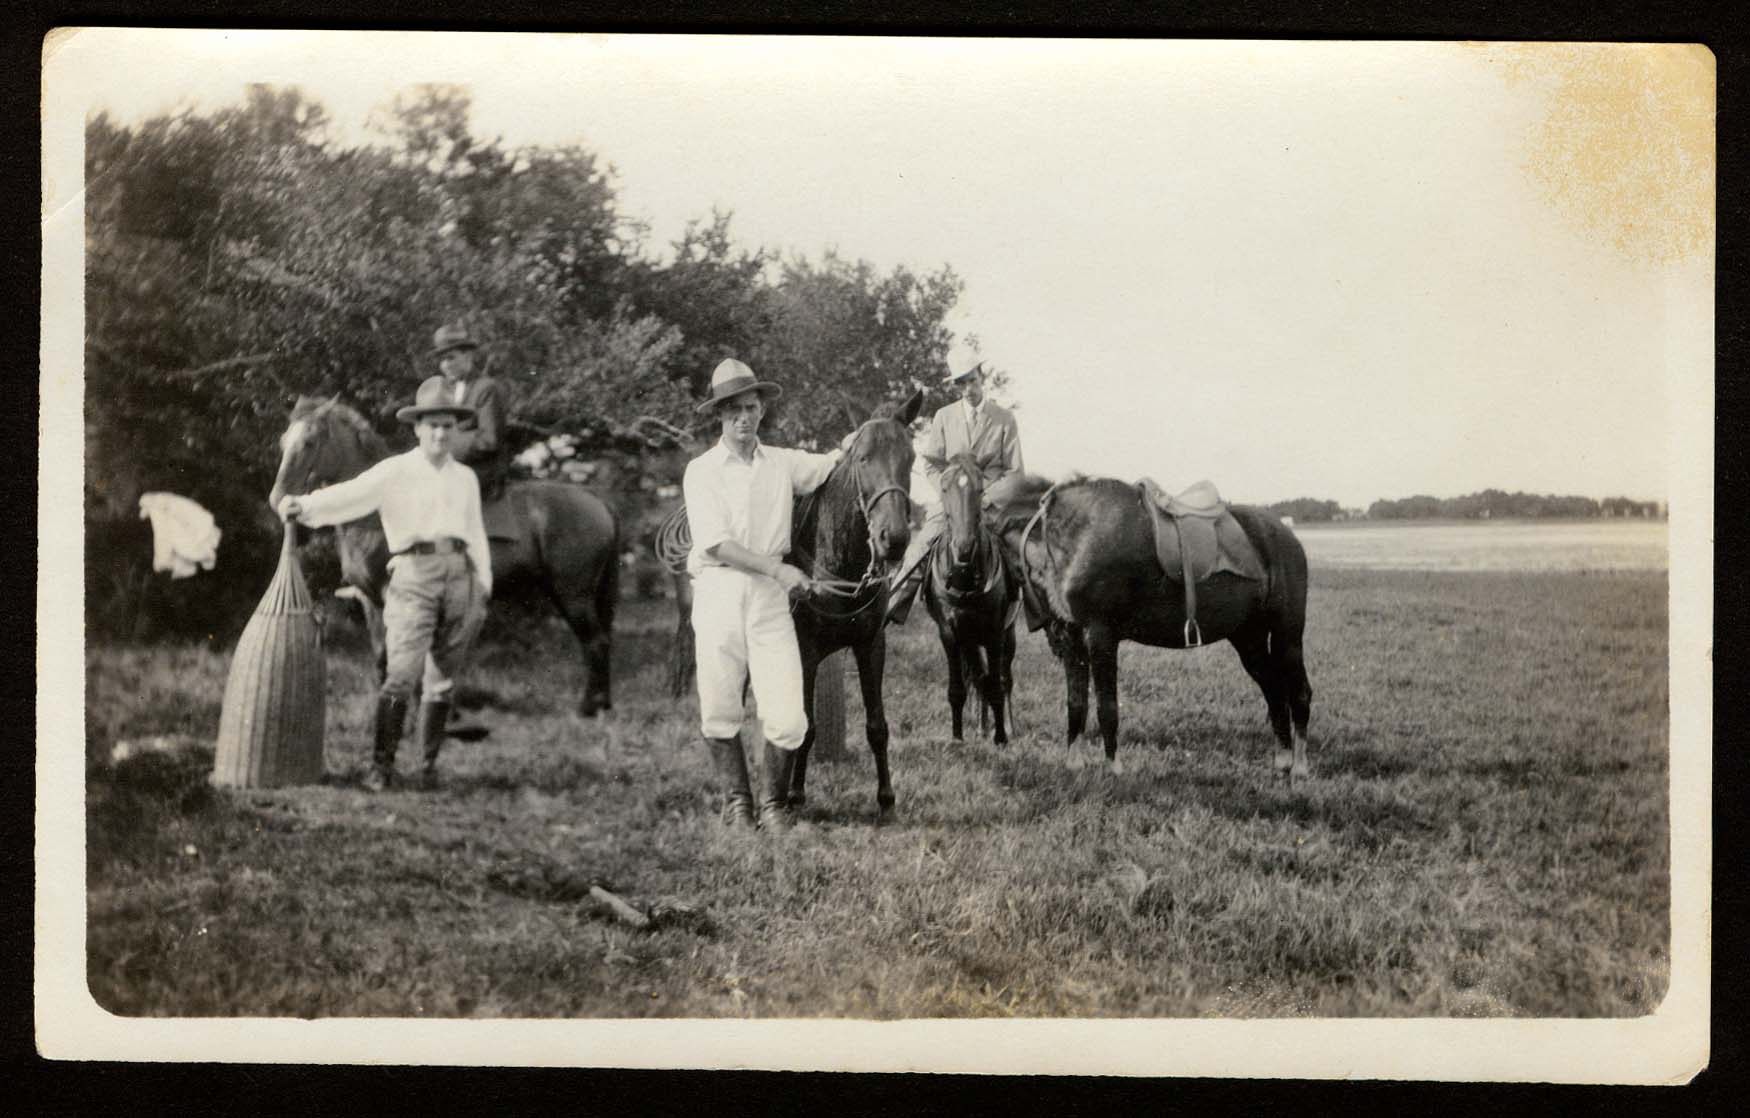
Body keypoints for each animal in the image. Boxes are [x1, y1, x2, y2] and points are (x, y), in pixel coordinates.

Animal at [784, 389, 923, 822]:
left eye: (910, 457)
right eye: (863, 458)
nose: (893, 538)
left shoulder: (870, 644)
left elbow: (877, 726)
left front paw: (886, 799)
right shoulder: (804, 651)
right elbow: (806, 726)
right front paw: (794, 795)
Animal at [920, 452, 1019, 744]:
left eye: (980, 489)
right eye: (944, 488)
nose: (963, 548)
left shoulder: (995, 632)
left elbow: (996, 684)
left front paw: (1001, 738)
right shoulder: (950, 633)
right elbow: (958, 688)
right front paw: (957, 738)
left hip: (1007, 634)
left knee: (1004, 677)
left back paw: (1007, 726)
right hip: (970, 641)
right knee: (978, 676)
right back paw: (981, 726)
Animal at [984, 473, 1314, 779]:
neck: (1077, 533)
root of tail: (1288, 536)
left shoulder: (1101, 635)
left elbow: (1107, 706)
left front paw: (1113, 767)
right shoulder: (1072, 635)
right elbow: (1076, 703)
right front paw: (1074, 764)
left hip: (1287, 635)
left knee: (1300, 692)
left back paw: (1299, 766)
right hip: (1248, 638)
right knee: (1273, 688)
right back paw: (1283, 760)